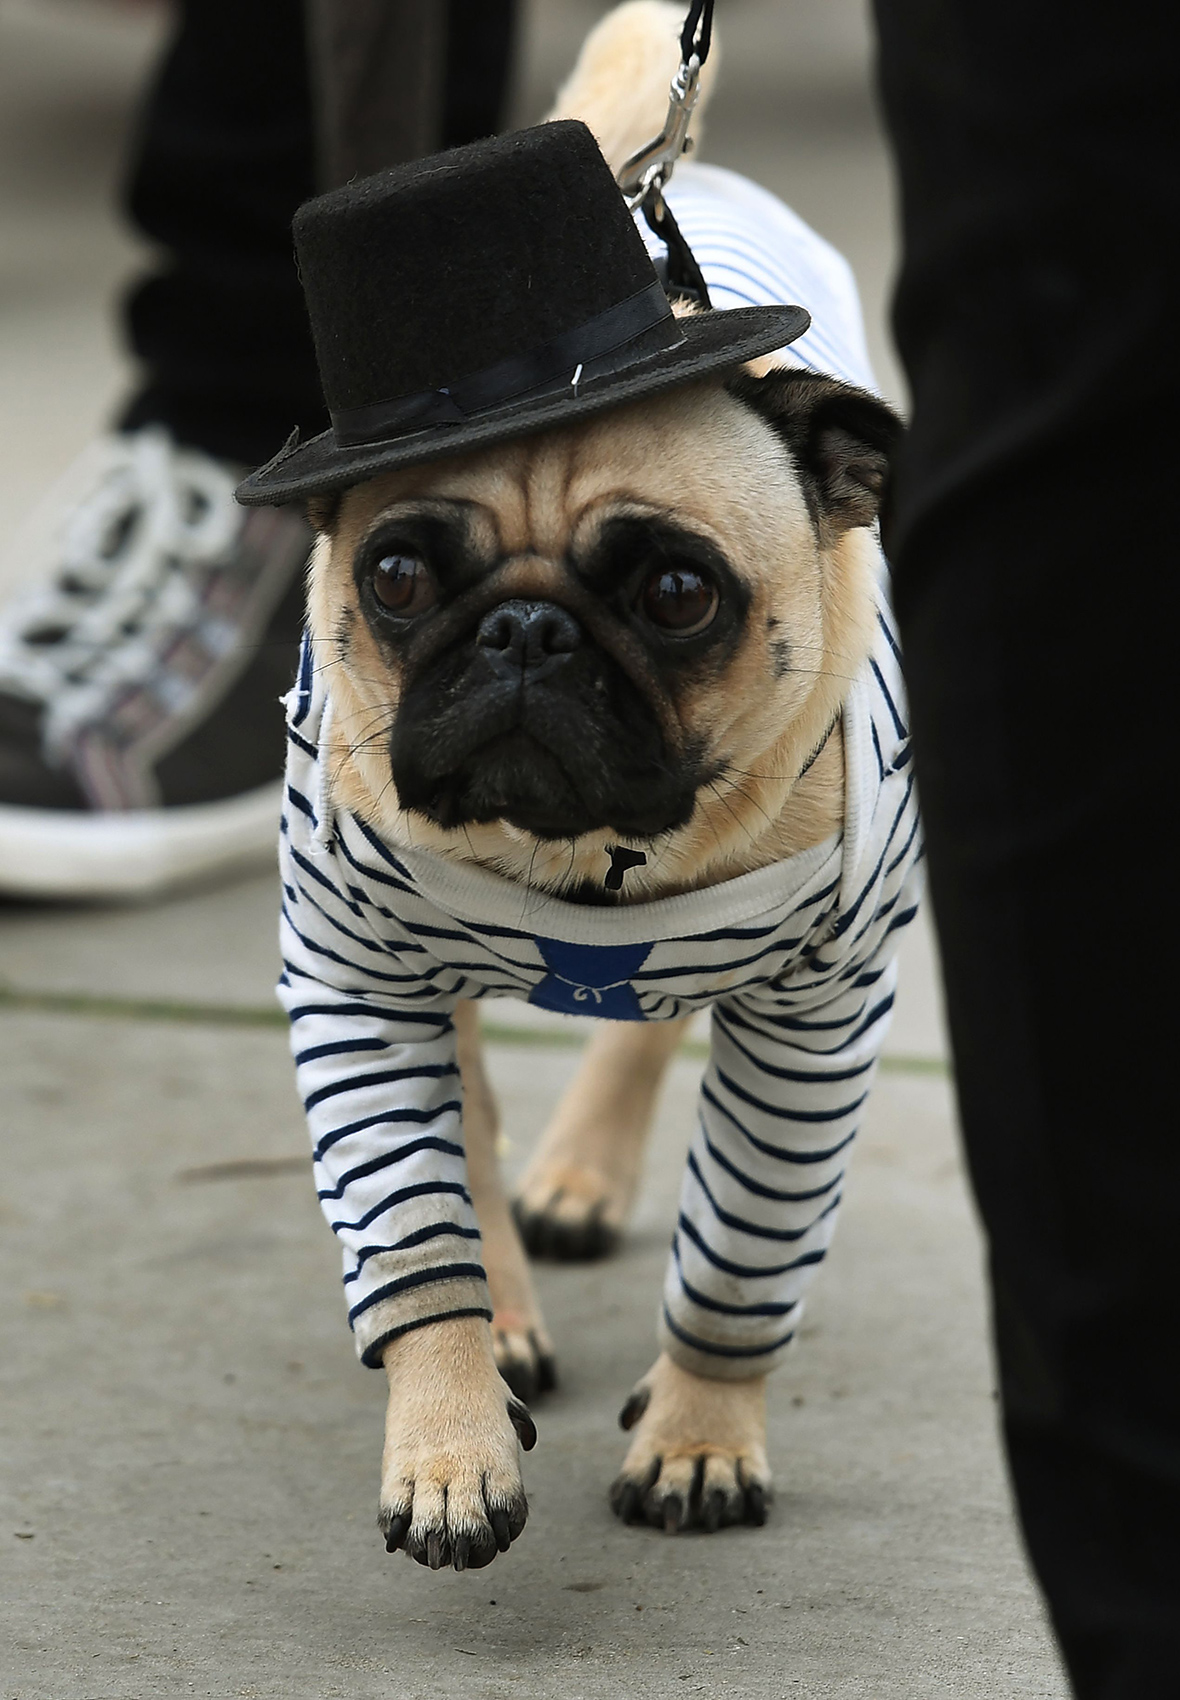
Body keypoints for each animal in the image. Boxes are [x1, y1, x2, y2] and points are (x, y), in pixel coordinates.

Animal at [243, 3, 924, 1564]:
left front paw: (700, 1434)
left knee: (649, 1038)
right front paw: (450, 1430)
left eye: (677, 593)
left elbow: (739, 1256)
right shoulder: (359, 978)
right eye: (398, 575)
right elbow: (420, 1216)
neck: (588, 861)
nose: (524, 631)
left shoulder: (818, 1013)